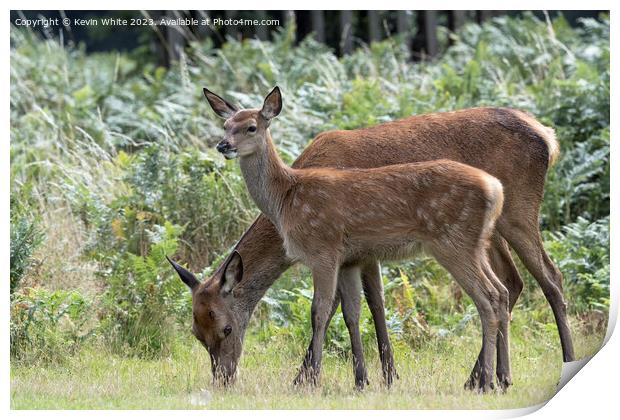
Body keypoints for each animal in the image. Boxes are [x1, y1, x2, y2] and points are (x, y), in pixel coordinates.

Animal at [168, 84, 572, 390]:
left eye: (226, 328)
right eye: (196, 332)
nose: (222, 378)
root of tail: (550, 138)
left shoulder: (341, 250)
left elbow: (341, 307)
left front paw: (311, 377)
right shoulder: (357, 254)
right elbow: (361, 308)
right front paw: (377, 376)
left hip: (515, 212)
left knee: (549, 279)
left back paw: (550, 364)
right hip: (489, 233)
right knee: (512, 283)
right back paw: (488, 377)